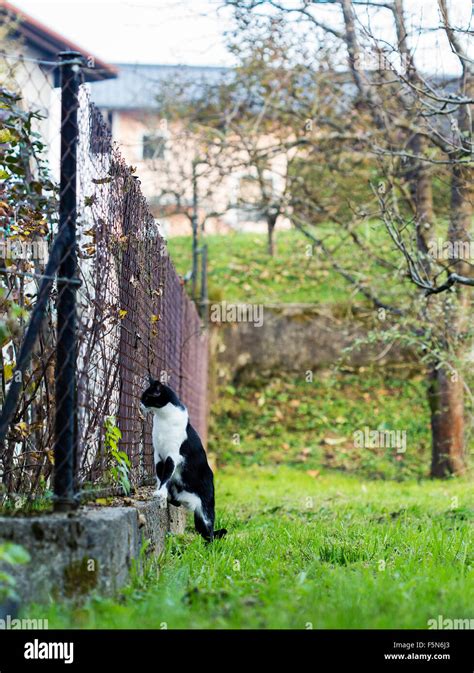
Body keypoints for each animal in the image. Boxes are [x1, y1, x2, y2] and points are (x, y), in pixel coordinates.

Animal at [140, 378, 227, 540]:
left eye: (147, 397)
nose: (140, 404)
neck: (162, 419)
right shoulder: (158, 455)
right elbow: (159, 475)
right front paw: (160, 492)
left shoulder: (173, 454)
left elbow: (166, 474)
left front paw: (160, 493)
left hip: (205, 510)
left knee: (210, 532)